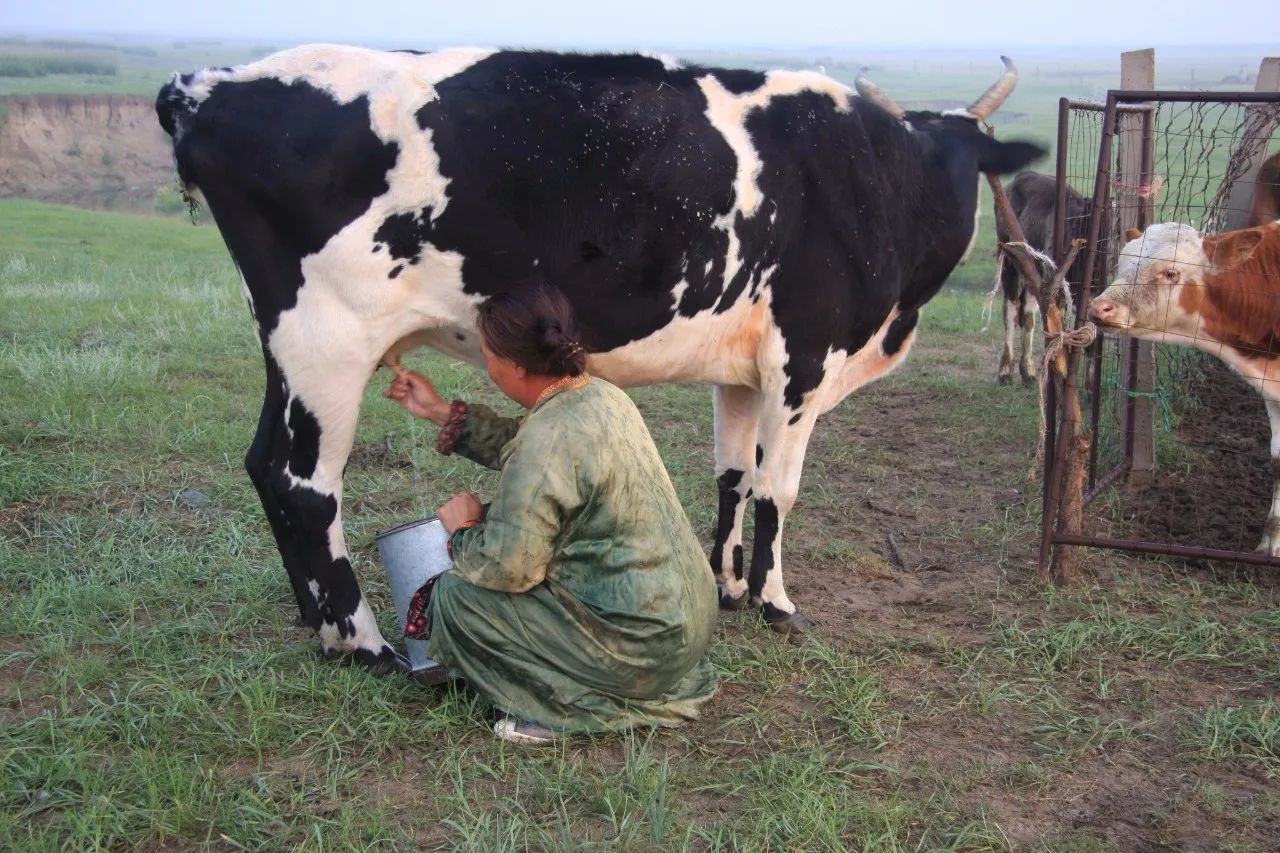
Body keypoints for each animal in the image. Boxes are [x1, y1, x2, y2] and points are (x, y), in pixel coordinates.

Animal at [154, 46, 1044, 671]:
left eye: (975, 161)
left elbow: (733, 475)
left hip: (290, 347)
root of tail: (207, 87)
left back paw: (320, 626)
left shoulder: (742, 369)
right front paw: (777, 600)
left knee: (263, 463)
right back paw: (362, 640)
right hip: (327, 341)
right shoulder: (805, 357)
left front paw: (728, 586)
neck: (874, 174)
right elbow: (779, 487)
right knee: (303, 483)